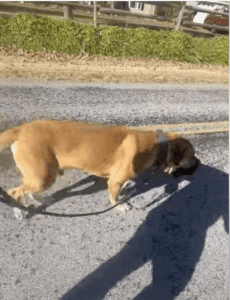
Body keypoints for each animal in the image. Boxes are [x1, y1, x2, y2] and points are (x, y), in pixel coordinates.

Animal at [0, 120, 198, 211]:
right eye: (192, 154)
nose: (200, 163)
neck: (159, 145)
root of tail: (21, 129)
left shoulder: (116, 179)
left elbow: (121, 188)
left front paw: (125, 192)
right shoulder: (114, 181)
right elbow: (114, 197)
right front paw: (120, 206)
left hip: (40, 176)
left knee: (27, 190)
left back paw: (41, 200)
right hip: (42, 176)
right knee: (15, 192)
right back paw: (20, 210)